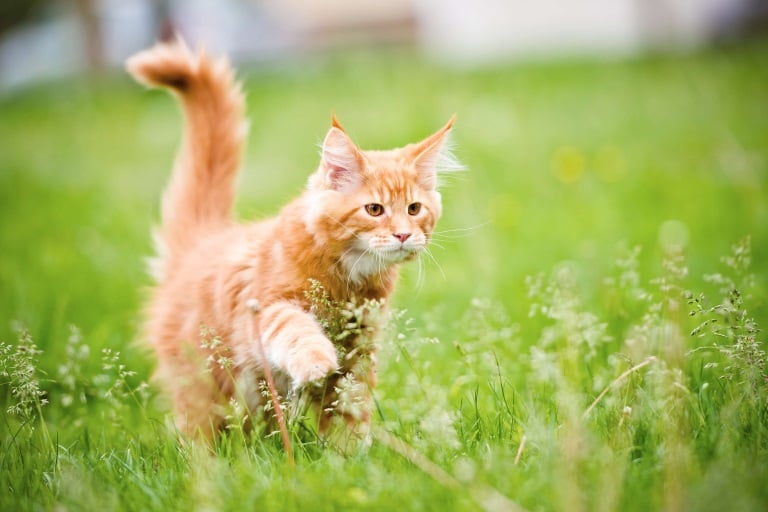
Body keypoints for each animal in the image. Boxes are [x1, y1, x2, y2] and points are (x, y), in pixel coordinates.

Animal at [126, 38, 456, 442]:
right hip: (205, 384)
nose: (403, 234)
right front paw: (317, 361)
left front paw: (348, 452)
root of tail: (205, 241)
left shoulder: (360, 347)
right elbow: (295, 328)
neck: (349, 276)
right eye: (374, 210)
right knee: (200, 434)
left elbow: (349, 408)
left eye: (413, 209)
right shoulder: (264, 306)